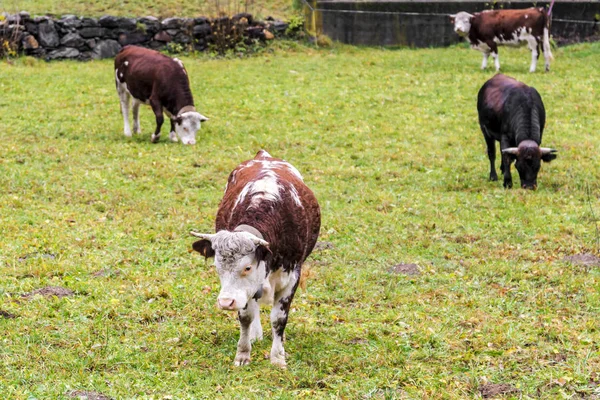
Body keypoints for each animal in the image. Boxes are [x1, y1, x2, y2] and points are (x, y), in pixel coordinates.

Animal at [190, 151, 322, 368]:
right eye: (218, 267)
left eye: (247, 267)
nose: (225, 302)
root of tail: (264, 155)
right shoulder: (244, 292)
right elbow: (246, 316)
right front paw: (243, 354)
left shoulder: (292, 278)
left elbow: (278, 319)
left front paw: (278, 357)